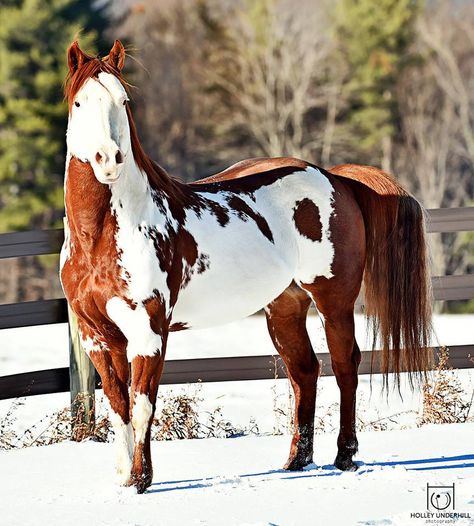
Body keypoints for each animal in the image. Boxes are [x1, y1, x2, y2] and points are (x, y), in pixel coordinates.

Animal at [60, 42, 434, 496]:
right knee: (304, 370)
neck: (103, 233)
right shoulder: (97, 335)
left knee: (345, 364)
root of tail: (335, 178)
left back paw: (345, 455)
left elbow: (142, 403)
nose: (109, 159)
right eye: (80, 102)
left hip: (333, 300)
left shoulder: (149, 332)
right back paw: (295, 461)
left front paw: (142, 479)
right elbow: (117, 405)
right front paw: (122, 478)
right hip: (284, 307)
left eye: (124, 102)